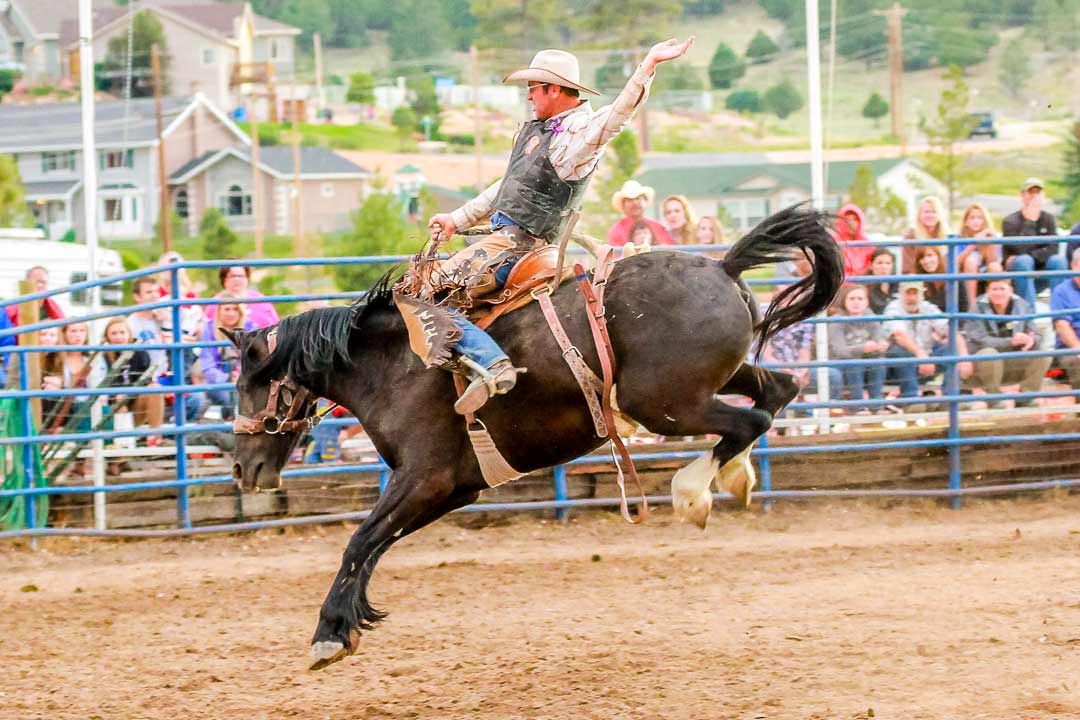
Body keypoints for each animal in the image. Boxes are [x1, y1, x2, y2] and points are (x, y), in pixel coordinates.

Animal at [223, 204, 842, 669]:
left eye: (251, 383)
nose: (242, 469)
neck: (395, 363)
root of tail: (722, 267)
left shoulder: (425, 478)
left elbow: (359, 541)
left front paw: (329, 633)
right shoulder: (453, 489)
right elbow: (375, 545)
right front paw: (351, 624)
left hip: (667, 405)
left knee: (751, 421)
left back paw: (694, 492)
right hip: (719, 378)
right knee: (779, 390)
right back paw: (735, 475)